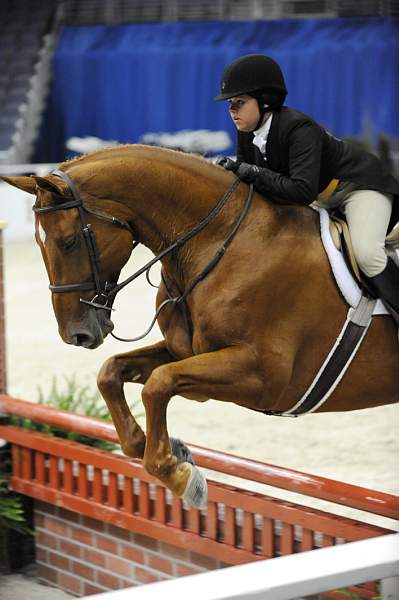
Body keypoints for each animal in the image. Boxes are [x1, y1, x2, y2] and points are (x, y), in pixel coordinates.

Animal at [1, 144, 398, 506]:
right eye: (39, 243)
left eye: (68, 242)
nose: (76, 334)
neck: (219, 241)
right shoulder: (185, 352)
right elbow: (112, 372)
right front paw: (163, 448)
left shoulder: (265, 378)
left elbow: (158, 384)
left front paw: (180, 475)